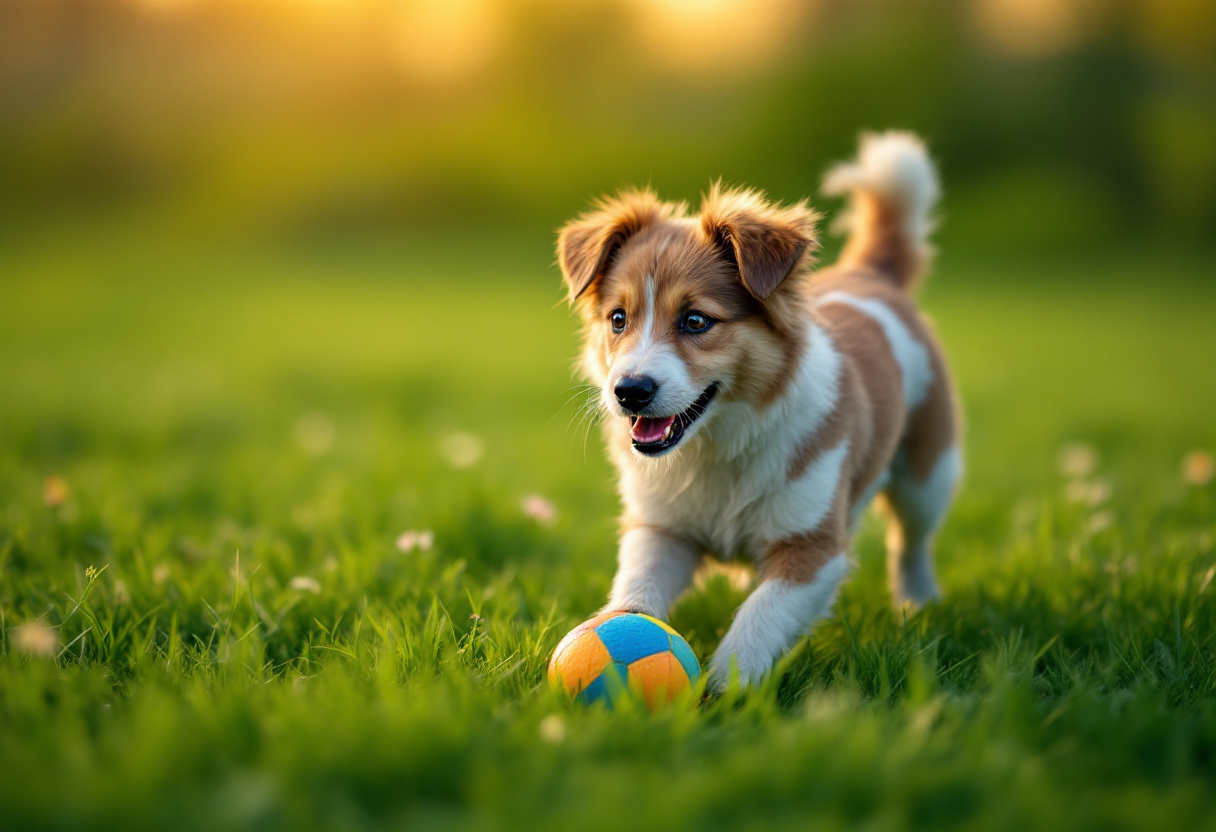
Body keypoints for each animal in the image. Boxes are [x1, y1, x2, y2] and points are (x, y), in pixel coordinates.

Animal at [556, 131, 963, 690]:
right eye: (618, 319)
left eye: (696, 320)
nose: (629, 391)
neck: (718, 446)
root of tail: (868, 274)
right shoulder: (662, 528)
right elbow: (637, 588)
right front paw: (614, 631)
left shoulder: (812, 549)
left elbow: (760, 615)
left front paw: (726, 691)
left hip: (929, 472)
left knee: (913, 541)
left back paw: (918, 605)